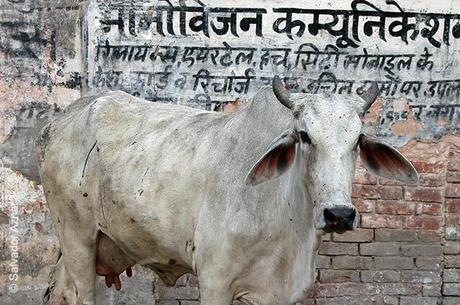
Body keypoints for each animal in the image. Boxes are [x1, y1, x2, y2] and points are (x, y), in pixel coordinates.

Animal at [37, 78, 418, 304]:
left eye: (358, 140)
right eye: (305, 136)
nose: (339, 214)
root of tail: (57, 122)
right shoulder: (215, 280)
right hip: (77, 237)